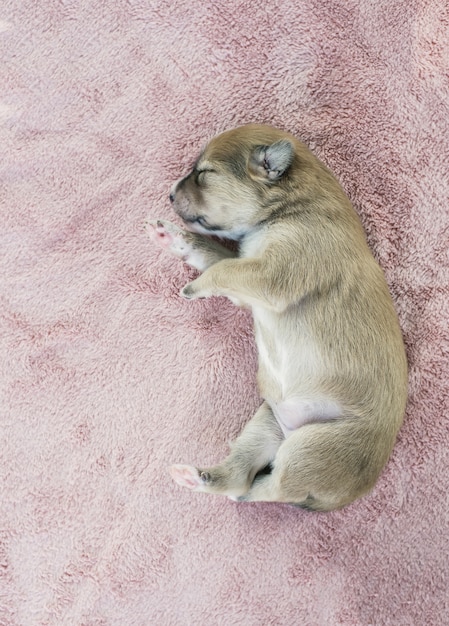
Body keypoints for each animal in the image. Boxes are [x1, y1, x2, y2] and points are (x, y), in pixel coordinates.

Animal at [146, 124, 406, 510]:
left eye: (205, 173)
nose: (169, 194)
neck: (291, 208)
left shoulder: (272, 274)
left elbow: (223, 268)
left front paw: (195, 286)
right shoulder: (248, 273)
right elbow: (216, 255)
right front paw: (173, 237)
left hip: (313, 449)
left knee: (273, 489)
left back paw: (245, 490)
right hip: (267, 422)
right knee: (239, 477)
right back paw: (195, 477)